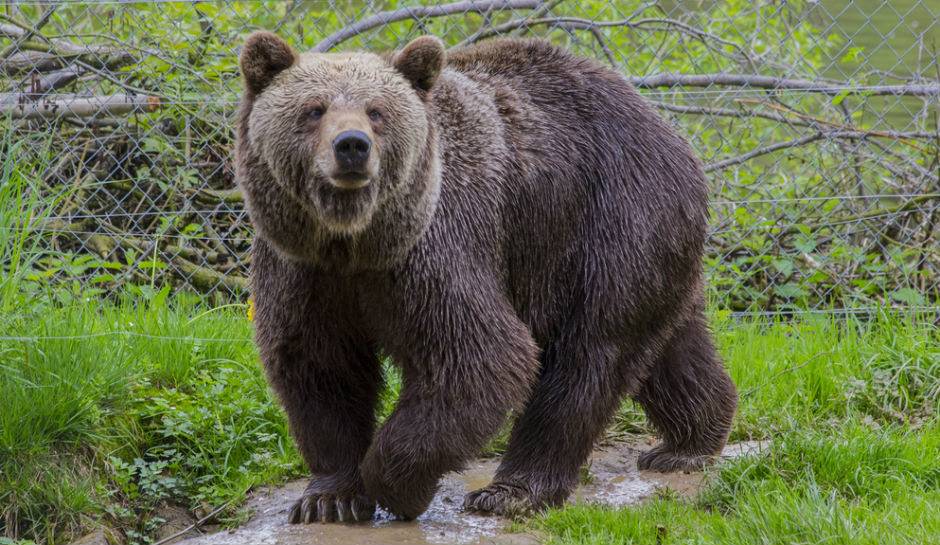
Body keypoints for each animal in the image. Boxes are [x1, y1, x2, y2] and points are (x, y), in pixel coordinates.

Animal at [235, 30, 736, 524]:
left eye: (376, 111)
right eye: (314, 109)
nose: (352, 146)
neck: (355, 241)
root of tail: (666, 128)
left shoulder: (436, 248)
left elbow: (480, 358)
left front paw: (399, 487)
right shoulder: (303, 269)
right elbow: (320, 368)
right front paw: (328, 499)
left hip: (608, 219)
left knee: (589, 353)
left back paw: (513, 490)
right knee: (672, 344)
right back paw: (690, 441)